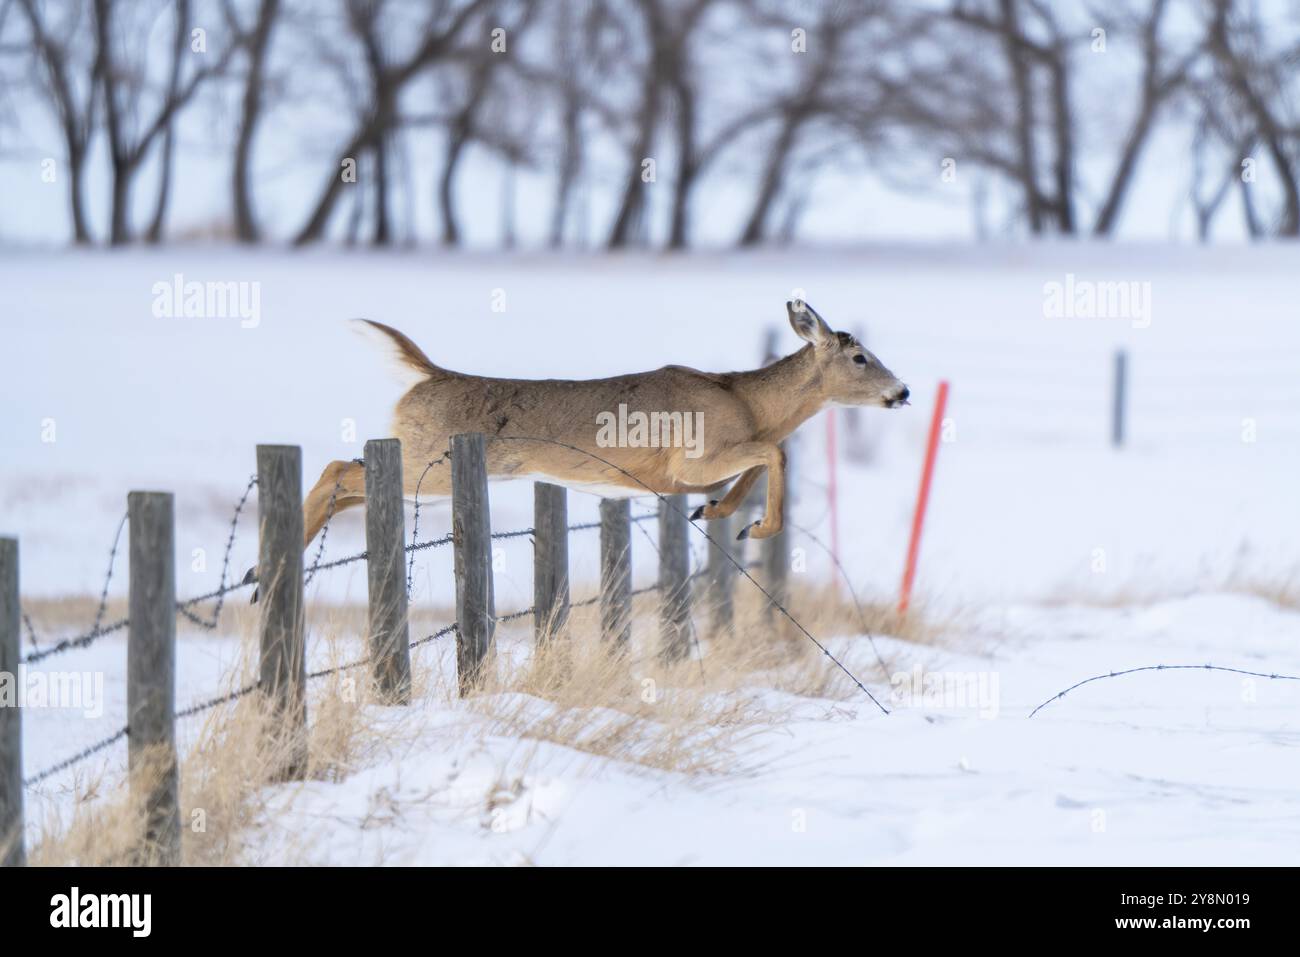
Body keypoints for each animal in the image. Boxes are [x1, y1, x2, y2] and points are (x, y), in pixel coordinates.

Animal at [250, 299, 904, 590]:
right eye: (860, 358)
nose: (903, 392)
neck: (750, 404)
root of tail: (428, 374)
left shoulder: (699, 468)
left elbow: (754, 468)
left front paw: (719, 514)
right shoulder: (693, 457)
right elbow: (775, 454)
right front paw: (759, 528)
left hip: (422, 468)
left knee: (349, 480)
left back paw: (265, 571)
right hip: (426, 466)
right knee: (337, 468)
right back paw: (265, 571)